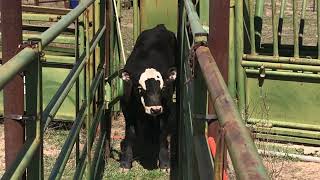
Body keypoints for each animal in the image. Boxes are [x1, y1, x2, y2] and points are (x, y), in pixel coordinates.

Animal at [119, 24, 178, 172]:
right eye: (140, 89)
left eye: (163, 88)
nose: (155, 109)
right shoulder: (127, 111)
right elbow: (130, 135)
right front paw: (125, 163)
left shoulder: (166, 110)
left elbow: (163, 134)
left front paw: (164, 163)